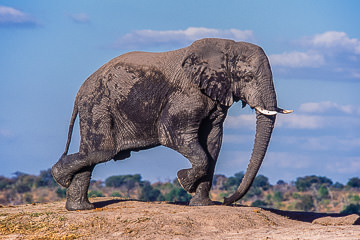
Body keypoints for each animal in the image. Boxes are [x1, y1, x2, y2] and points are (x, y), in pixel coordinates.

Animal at [51, 37, 292, 210]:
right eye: (248, 77)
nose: (225, 199)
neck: (227, 46)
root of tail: (80, 91)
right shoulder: (186, 95)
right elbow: (174, 134)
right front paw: (183, 181)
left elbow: (213, 142)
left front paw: (201, 205)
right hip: (98, 104)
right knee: (103, 151)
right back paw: (58, 177)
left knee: (94, 152)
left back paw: (80, 208)